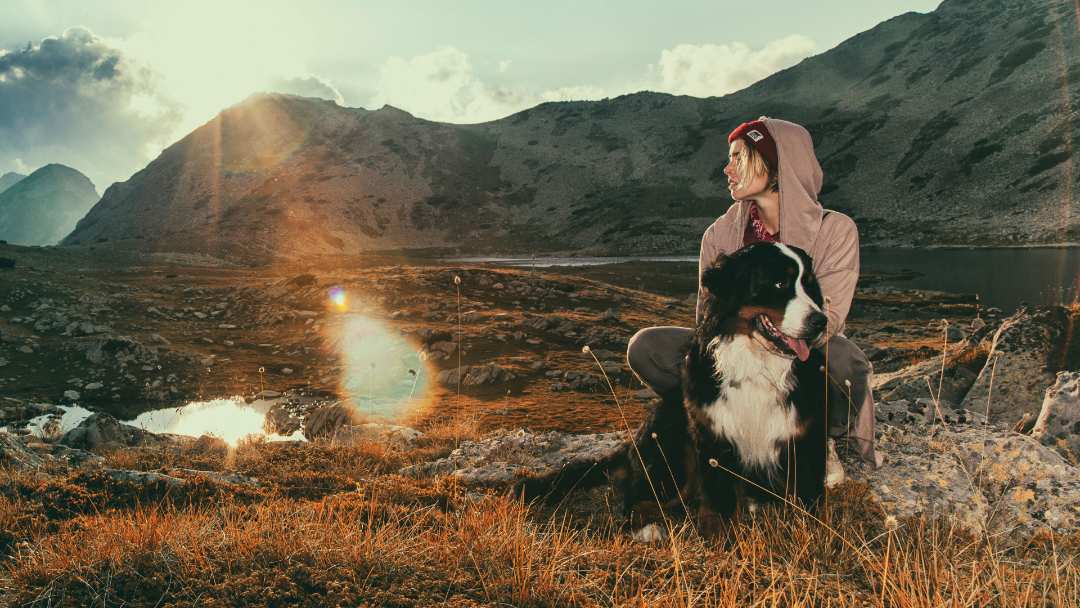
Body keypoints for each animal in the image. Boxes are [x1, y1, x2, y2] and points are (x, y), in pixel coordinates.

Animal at [518, 242, 829, 542]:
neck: (757, 364)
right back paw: (651, 529)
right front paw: (723, 541)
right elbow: (719, 505)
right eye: (779, 283)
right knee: (637, 503)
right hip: (673, 456)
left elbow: (808, 499)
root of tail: (631, 444)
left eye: (809, 285)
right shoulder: (713, 438)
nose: (821, 322)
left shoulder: (802, 438)